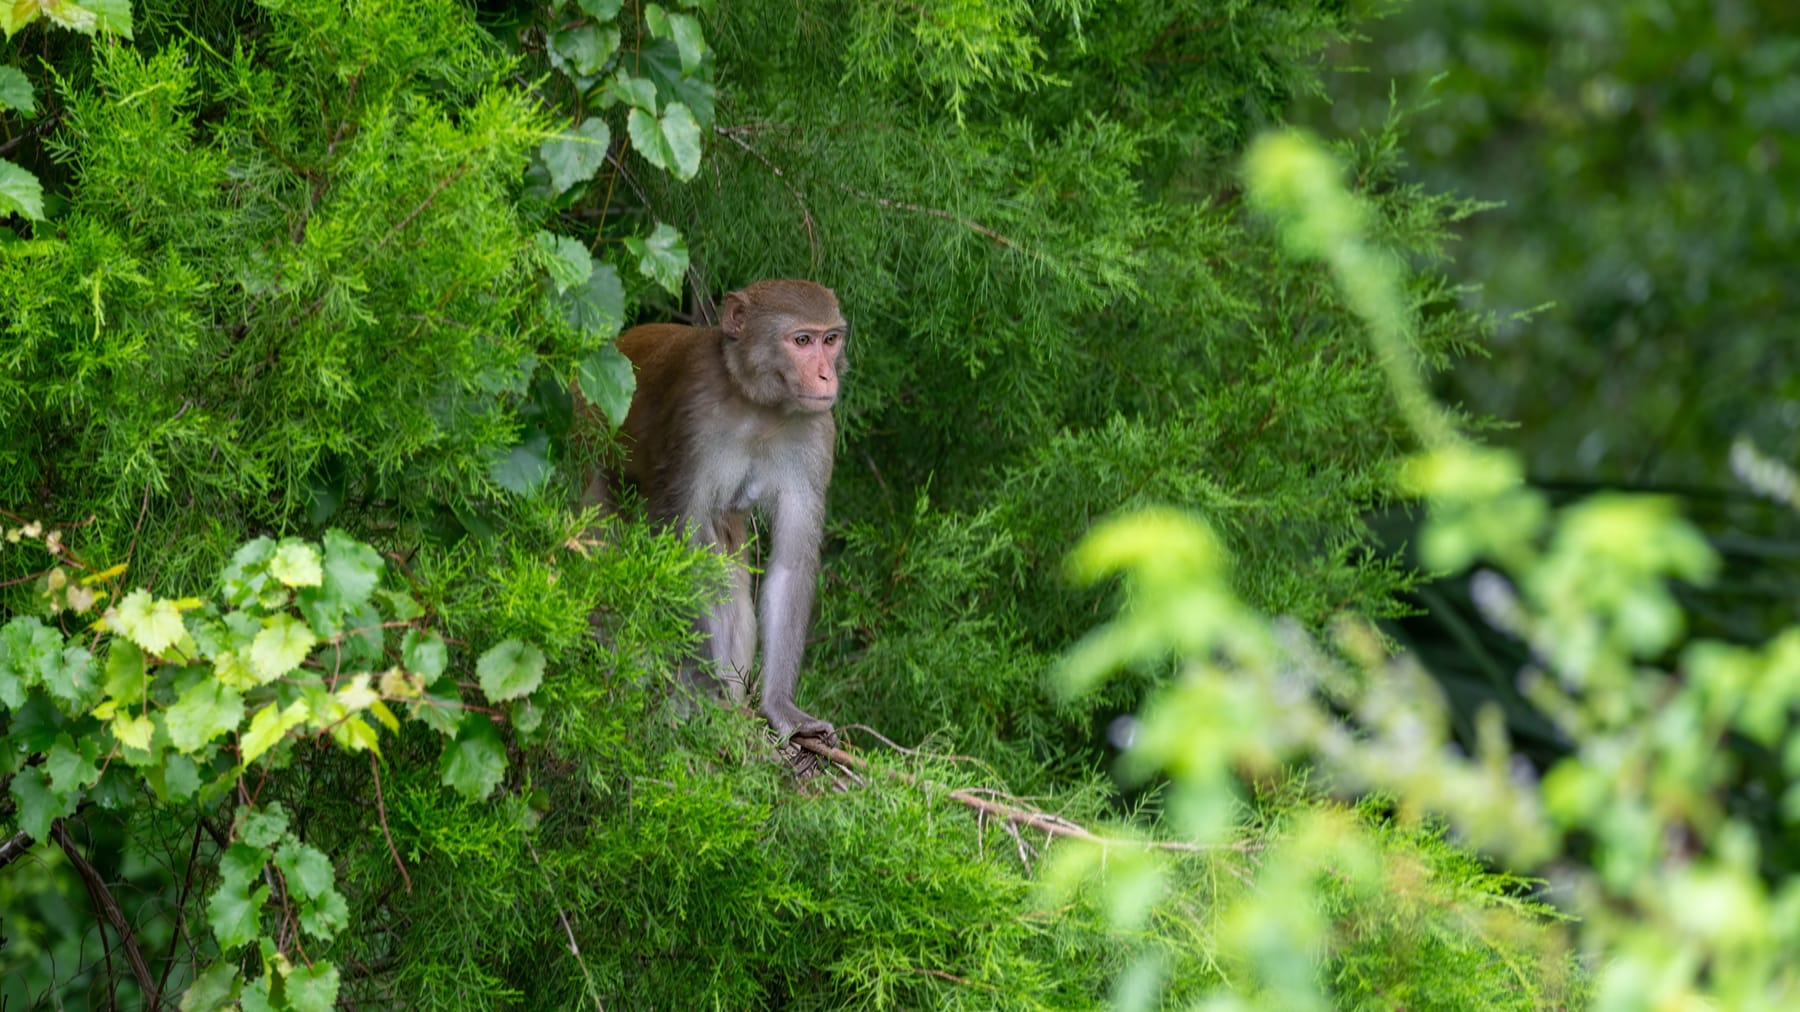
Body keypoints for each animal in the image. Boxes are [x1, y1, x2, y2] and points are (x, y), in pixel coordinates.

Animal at [582, 279, 846, 742]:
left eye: (830, 340)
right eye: (802, 341)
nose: (826, 375)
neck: (759, 404)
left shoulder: (816, 431)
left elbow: (790, 565)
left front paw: (780, 707)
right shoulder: (695, 411)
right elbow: (677, 539)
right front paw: (704, 687)